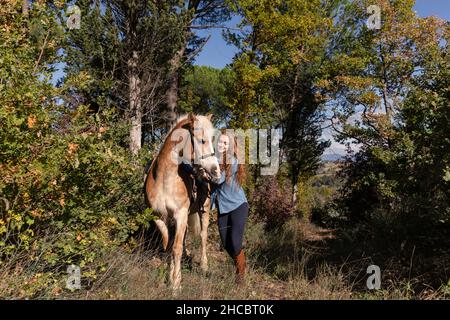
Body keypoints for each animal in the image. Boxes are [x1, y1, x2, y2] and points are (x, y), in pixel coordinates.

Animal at [144, 114, 220, 292]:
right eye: (201, 140)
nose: (216, 170)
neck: (164, 178)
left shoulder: (180, 215)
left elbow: (176, 248)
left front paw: (176, 283)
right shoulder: (160, 217)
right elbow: (168, 246)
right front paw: (166, 276)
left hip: (204, 211)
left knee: (203, 236)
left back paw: (203, 266)